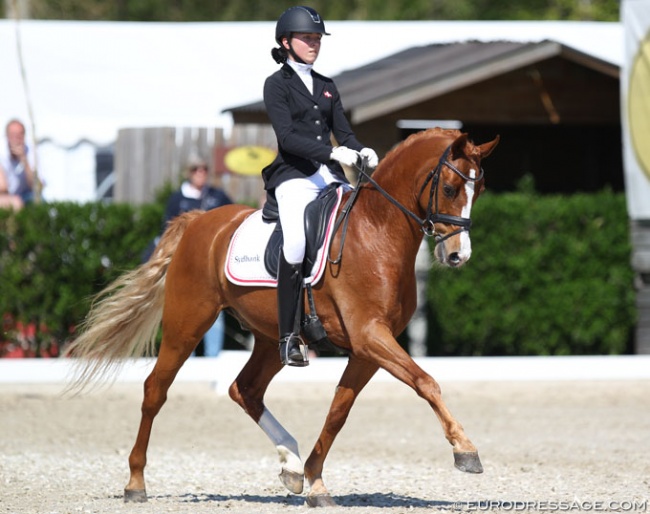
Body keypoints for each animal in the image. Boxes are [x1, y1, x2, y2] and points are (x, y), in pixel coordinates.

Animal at [66, 127, 498, 504]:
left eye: (480, 190)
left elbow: (338, 411)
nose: (458, 255)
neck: (376, 232)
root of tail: (198, 222)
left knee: (245, 389)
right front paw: (466, 451)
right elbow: (426, 382)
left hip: (271, 338)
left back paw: (290, 463)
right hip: (186, 325)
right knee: (156, 389)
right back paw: (135, 482)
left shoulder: (367, 350)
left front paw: (315, 481)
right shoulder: (370, 336)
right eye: (449, 188)